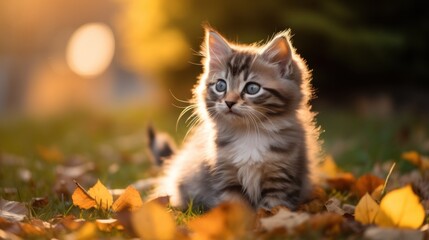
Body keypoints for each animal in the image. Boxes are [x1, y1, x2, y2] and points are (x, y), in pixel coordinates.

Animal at [152, 28, 320, 211]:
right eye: (221, 86)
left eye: (252, 88)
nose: (229, 102)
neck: (249, 134)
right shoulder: (225, 175)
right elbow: (235, 209)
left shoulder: (281, 178)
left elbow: (274, 210)